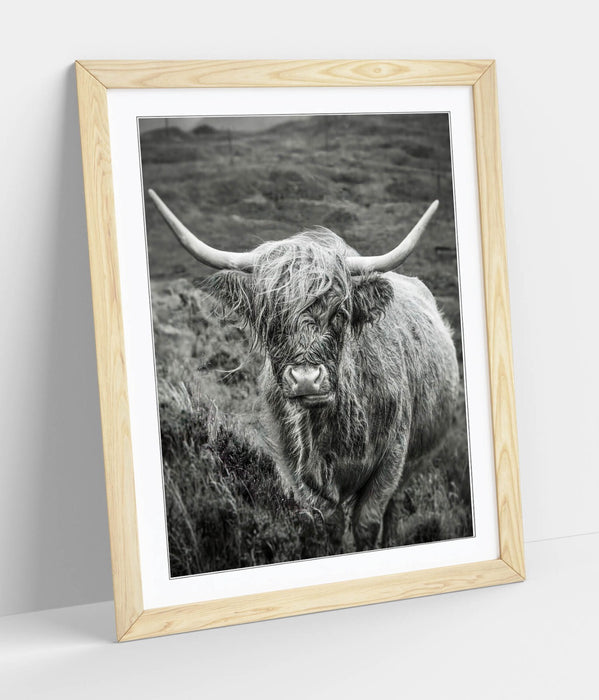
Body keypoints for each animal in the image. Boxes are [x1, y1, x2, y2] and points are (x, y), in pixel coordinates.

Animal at [148, 189, 459, 551]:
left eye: (340, 313)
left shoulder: (392, 458)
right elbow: (329, 524)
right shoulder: (295, 468)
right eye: (269, 317)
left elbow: (368, 522)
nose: (306, 379)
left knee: (395, 509)